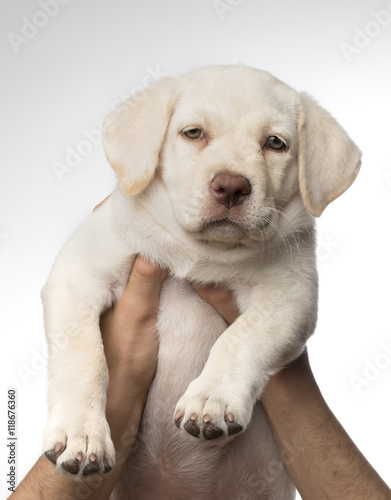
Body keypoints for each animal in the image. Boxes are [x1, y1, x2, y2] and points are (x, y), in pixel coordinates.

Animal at [42, 64, 362, 498]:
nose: (231, 186)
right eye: (193, 133)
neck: (202, 252)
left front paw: (212, 400)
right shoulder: (79, 273)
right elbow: (84, 355)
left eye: (275, 143)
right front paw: (82, 435)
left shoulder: (290, 293)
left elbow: (242, 337)